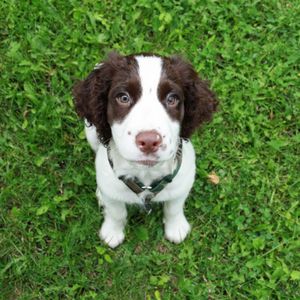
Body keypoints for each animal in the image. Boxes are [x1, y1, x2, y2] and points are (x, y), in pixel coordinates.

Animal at [73, 52, 218, 248]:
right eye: (123, 97)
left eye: (172, 99)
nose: (149, 141)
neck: (146, 174)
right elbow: (116, 212)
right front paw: (112, 232)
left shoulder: (183, 182)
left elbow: (174, 207)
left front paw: (176, 228)